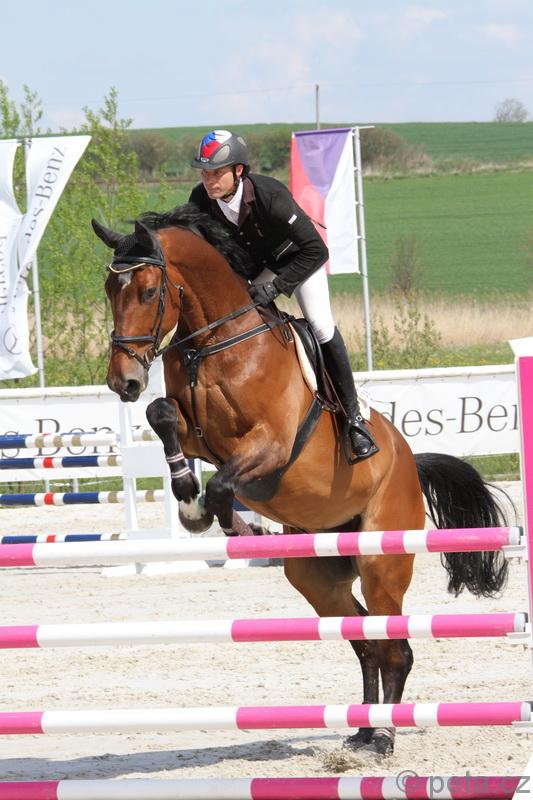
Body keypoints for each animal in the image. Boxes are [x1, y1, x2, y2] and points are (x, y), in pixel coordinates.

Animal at [93, 205, 508, 756]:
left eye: (146, 291)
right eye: (108, 290)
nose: (124, 382)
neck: (215, 341)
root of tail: (409, 464)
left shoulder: (272, 445)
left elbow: (223, 486)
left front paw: (225, 522)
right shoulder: (196, 436)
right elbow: (161, 414)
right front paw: (185, 497)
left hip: (381, 561)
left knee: (394, 646)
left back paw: (384, 737)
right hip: (317, 576)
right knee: (366, 642)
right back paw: (361, 730)